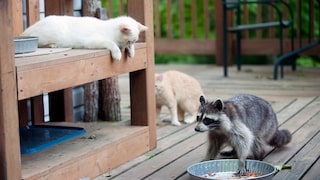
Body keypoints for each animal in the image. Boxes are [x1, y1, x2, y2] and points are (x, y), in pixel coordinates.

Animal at [20, 15, 148, 60]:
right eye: (129, 41)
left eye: (133, 42)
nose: (129, 45)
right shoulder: (92, 41)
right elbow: (112, 44)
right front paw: (118, 54)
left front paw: (132, 52)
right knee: (38, 43)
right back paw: (52, 45)